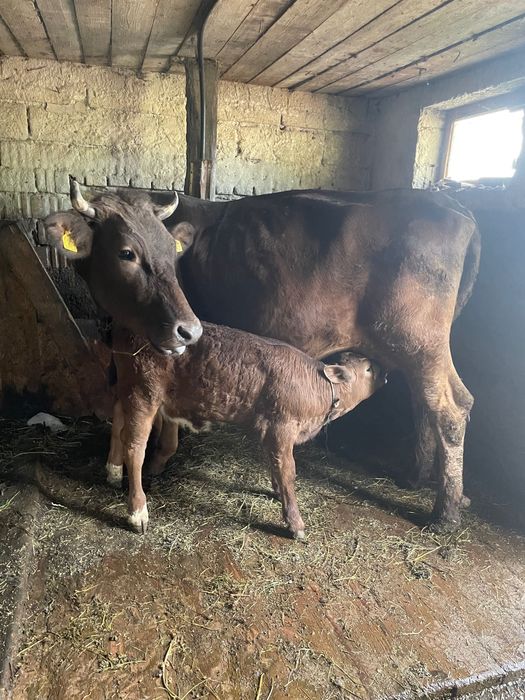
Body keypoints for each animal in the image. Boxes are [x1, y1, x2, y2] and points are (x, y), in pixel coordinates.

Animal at [105, 322, 386, 536]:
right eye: (368, 368)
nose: (385, 375)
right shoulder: (282, 428)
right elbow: (288, 471)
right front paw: (295, 522)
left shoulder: (271, 432)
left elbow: (275, 464)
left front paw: (277, 491)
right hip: (144, 391)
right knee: (135, 447)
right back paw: (138, 512)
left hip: (129, 386)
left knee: (117, 417)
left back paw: (113, 469)